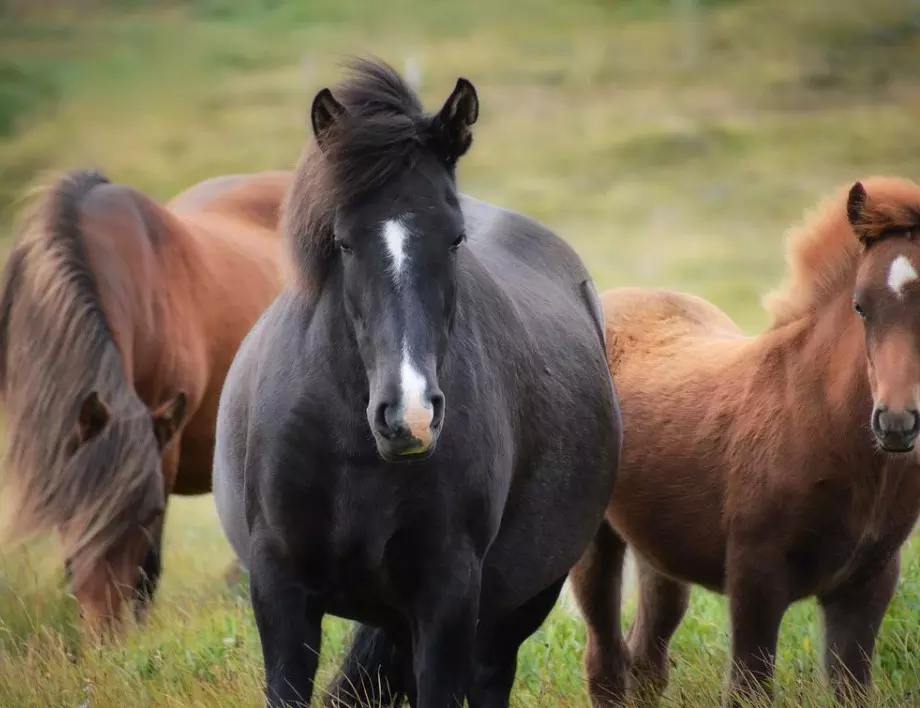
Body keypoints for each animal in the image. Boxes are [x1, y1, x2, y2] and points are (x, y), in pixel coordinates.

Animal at [212, 60, 620, 708]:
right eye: (343, 241)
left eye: (454, 238)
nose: (410, 417)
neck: (352, 450)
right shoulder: (280, 592)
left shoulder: (447, 599)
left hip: (516, 606)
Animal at [572, 178, 920, 708]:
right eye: (860, 306)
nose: (896, 424)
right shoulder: (755, 576)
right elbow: (748, 685)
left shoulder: (869, 581)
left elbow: (851, 685)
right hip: (594, 541)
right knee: (605, 660)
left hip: (660, 551)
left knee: (647, 656)